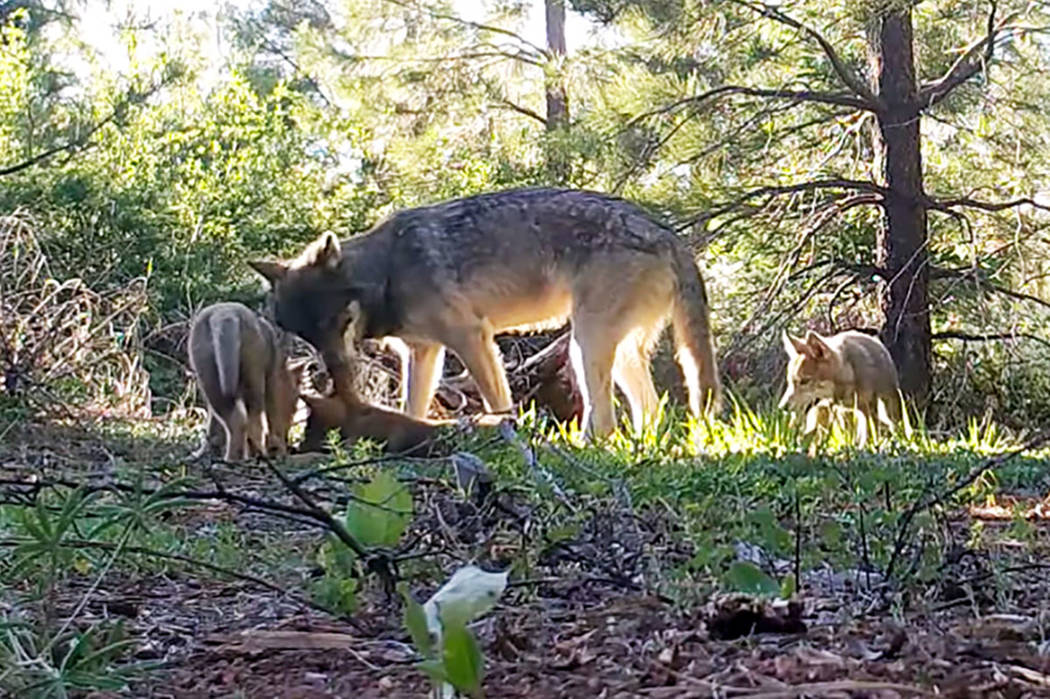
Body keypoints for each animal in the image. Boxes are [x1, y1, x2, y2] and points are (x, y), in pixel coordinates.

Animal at [186, 302, 302, 459]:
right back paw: (252, 454)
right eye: (294, 403)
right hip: (252, 374)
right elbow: (273, 419)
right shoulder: (271, 383)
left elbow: (212, 423)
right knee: (252, 420)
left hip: (208, 373)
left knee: (234, 419)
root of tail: (225, 315)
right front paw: (279, 449)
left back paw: (229, 457)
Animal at [246, 184, 722, 436]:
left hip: (584, 347)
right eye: (307, 336)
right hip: (613, 354)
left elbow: (498, 400)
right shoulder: (423, 353)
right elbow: (412, 406)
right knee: (651, 412)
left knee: (605, 420)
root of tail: (670, 234)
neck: (388, 271)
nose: (337, 374)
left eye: (335, 322)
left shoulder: (472, 337)